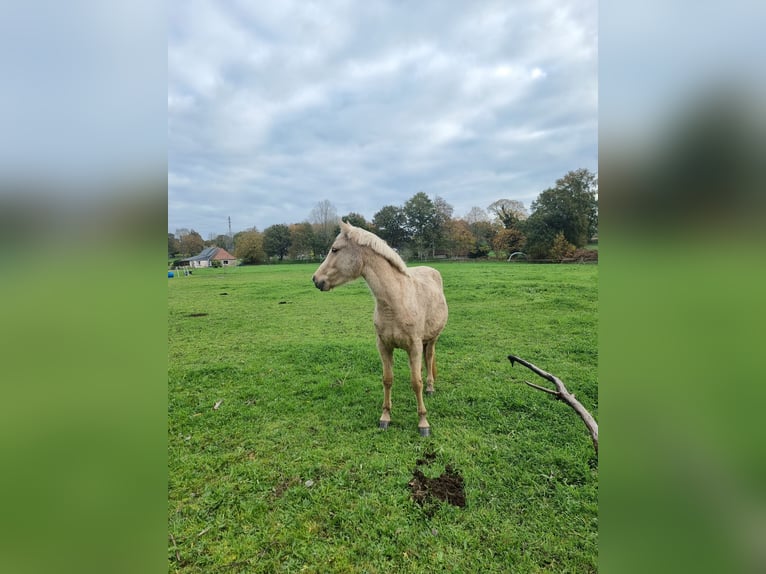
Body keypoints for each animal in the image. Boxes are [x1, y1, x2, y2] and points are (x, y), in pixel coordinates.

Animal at [310, 223, 448, 438]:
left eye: (335, 249)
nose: (316, 279)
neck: (396, 301)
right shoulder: (384, 346)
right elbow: (387, 380)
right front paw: (385, 417)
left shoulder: (414, 346)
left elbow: (416, 383)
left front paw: (423, 422)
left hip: (431, 339)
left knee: (429, 358)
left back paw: (430, 387)